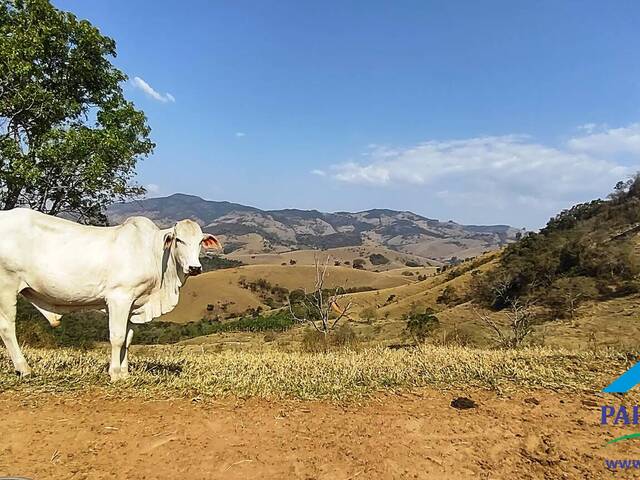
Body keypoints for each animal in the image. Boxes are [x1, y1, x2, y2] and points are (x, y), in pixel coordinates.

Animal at [0, 208, 221, 380]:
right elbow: (117, 336)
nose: (195, 267)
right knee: (7, 328)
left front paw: (125, 373)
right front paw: (115, 373)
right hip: (7, 286)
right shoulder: (119, 298)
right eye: (179, 240)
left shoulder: (134, 304)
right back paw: (24, 368)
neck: (152, 252)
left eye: (200, 242)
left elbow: (128, 339)